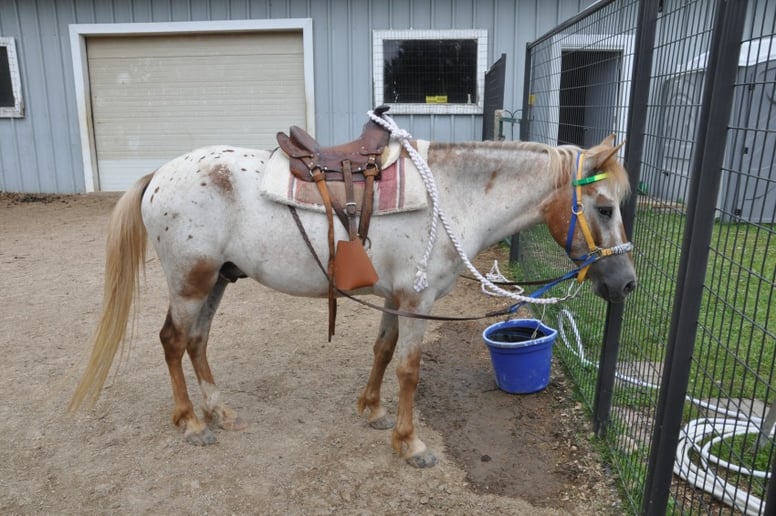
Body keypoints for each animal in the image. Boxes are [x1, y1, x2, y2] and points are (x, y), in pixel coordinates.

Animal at [68, 128, 636, 468]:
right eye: (604, 208)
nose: (627, 283)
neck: (451, 197)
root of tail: (159, 175)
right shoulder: (417, 299)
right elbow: (409, 369)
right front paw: (410, 444)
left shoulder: (396, 297)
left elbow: (382, 353)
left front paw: (372, 410)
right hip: (191, 281)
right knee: (172, 340)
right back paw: (190, 422)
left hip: (219, 281)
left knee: (197, 342)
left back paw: (219, 411)